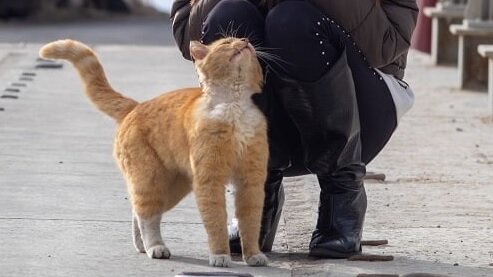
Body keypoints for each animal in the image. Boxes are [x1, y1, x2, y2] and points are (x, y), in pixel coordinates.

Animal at [39, 37, 270, 266]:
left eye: (245, 40)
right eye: (226, 42)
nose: (246, 40)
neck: (234, 106)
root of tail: (135, 107)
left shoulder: (251, 181)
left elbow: (251, 221)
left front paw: (253, 255)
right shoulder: (210, 181)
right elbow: (215, 220)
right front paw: (220, 255)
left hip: (172, 188)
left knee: (139, 210)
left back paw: (142, 245)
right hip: (151, 180)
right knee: (146, 215)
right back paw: (155, 247)